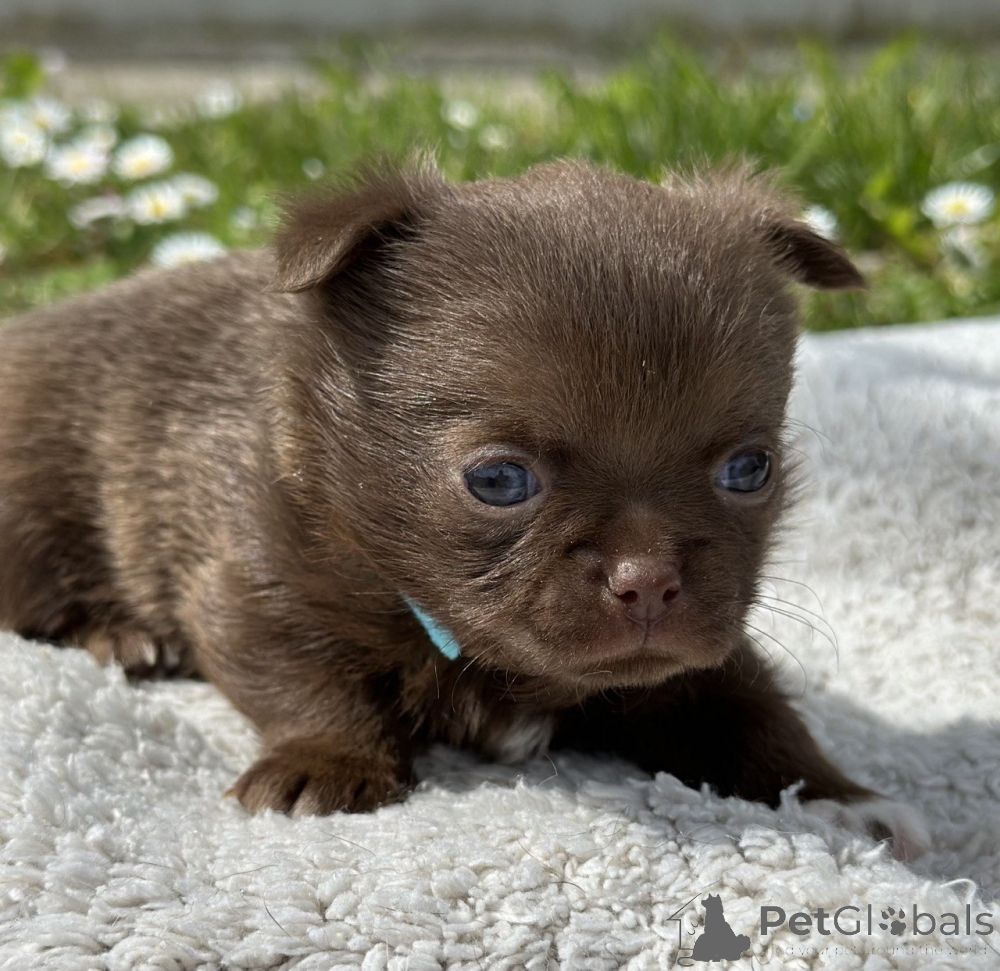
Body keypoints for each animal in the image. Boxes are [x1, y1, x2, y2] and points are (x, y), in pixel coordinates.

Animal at [0, 159, 928, 858]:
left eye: (749, 467)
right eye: (498, 481)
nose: (649, 579)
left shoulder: (702, 659)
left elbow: (755, 711)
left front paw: (838, 797)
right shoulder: (252, 582)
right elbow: (305, 678)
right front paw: (324, 761)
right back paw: (120, 635)